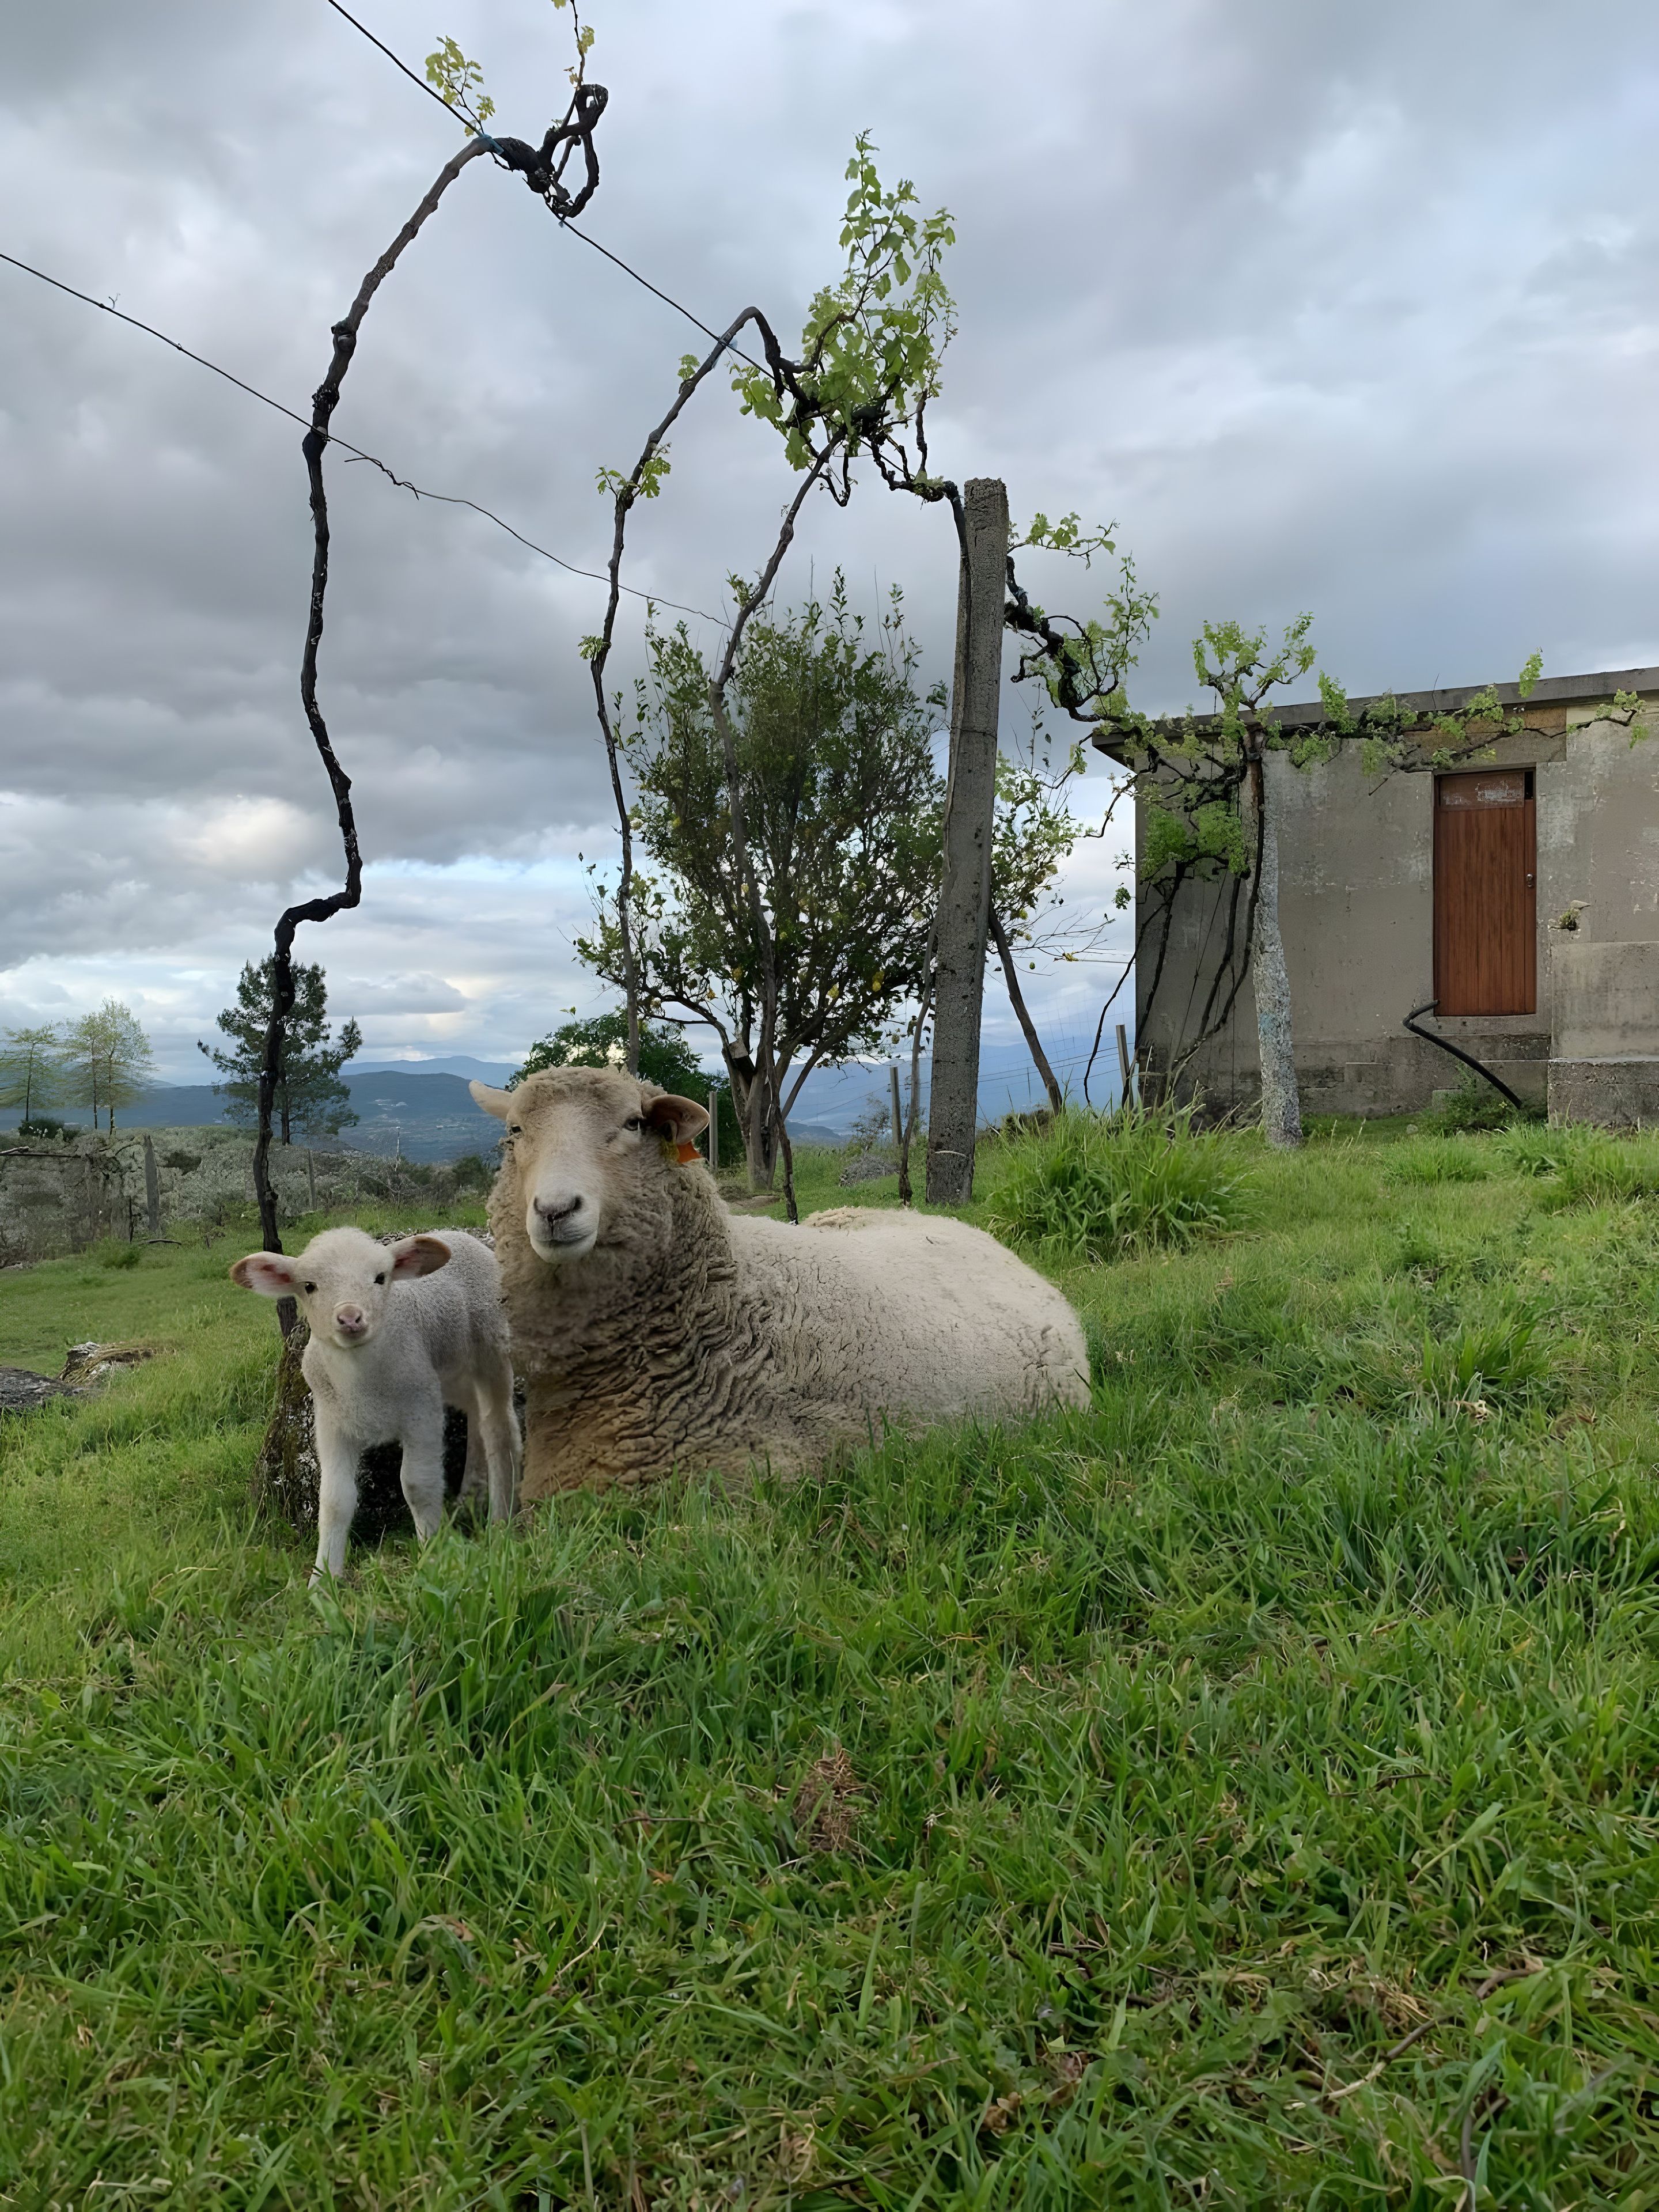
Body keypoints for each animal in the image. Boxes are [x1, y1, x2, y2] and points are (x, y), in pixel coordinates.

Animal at [230, 1226, 520, 1581]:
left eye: (381, 1278)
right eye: (309, 1286)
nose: (350, 1318)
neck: (362, 1380)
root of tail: (462, 1236)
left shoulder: (421, 1409)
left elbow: (417, 1485)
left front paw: (432, 1558)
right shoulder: (331, 1422)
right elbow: (334, 1501)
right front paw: (323, 1580)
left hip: (493, 1350)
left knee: (499, 1429)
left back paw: (501, 1522)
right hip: (453, 1374)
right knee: (477, 1419)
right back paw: (470, 1498)